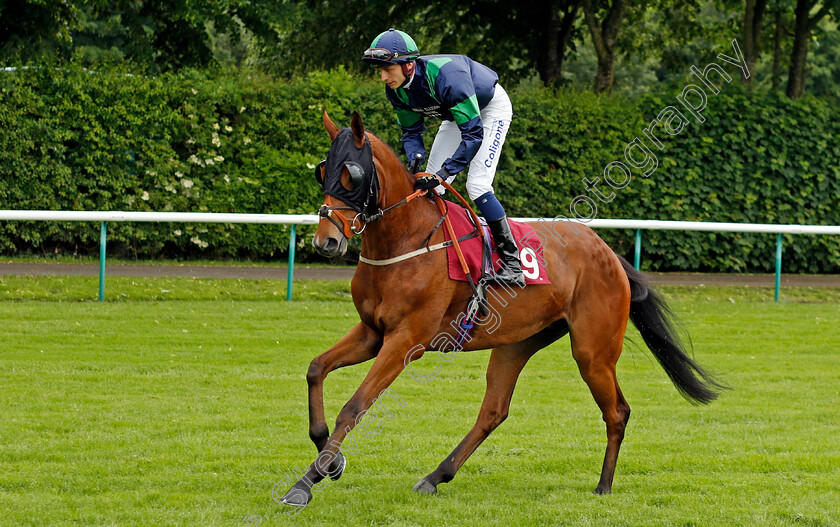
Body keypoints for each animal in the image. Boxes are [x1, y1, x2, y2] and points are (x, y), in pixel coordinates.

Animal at [280, 111, 720, 508]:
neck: (406, 240)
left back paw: (604, 486)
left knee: (618, 412)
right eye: (323, 172)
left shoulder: (406, 340)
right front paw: (330, 460)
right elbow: (316, 369)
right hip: (517, 342)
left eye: (351, 175)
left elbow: (355, 406)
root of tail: (608, 253)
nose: (326, 241)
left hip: (593, 351)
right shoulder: (373, 332)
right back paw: (435, 476)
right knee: (494, 410)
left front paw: (305, 483)